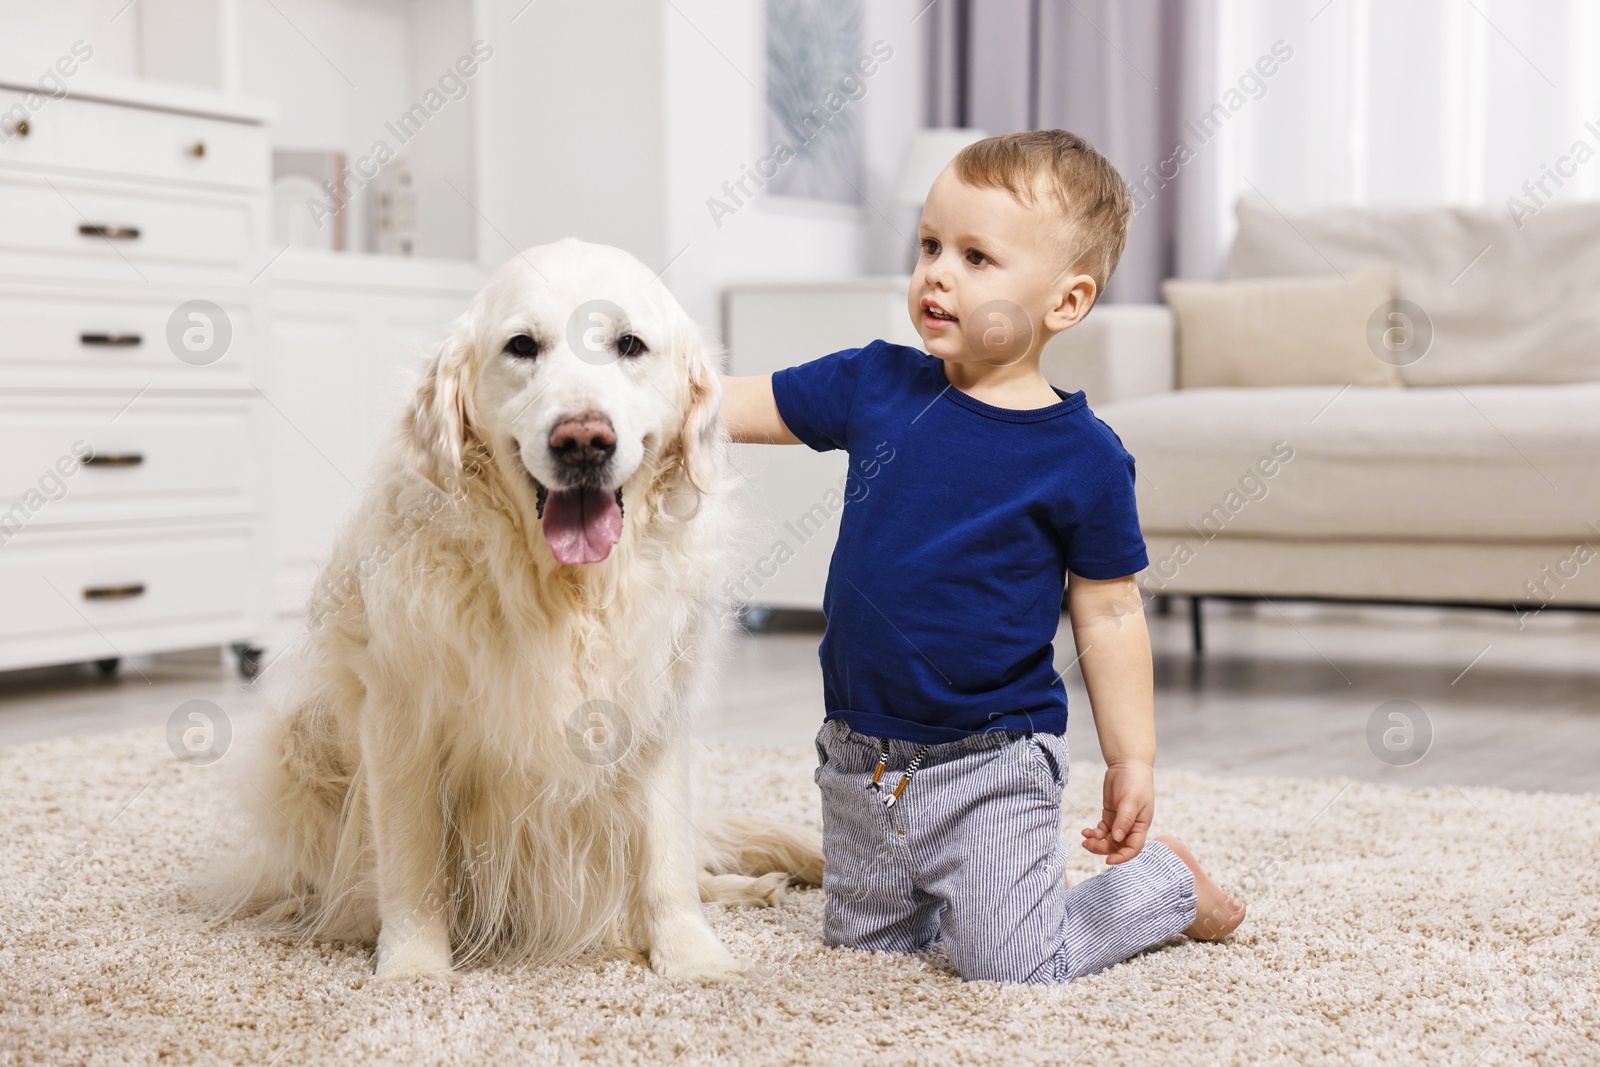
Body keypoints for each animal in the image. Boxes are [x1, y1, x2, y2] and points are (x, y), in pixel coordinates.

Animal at [211, 238, 825, 979]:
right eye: (522, 346)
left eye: (630, 344)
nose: (583, 439)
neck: (563, 586)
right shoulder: (401, 713)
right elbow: (412, 857)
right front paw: (413, 966)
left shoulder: (653, 707)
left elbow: (665, 856)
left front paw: (691, 955)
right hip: (294, 753)